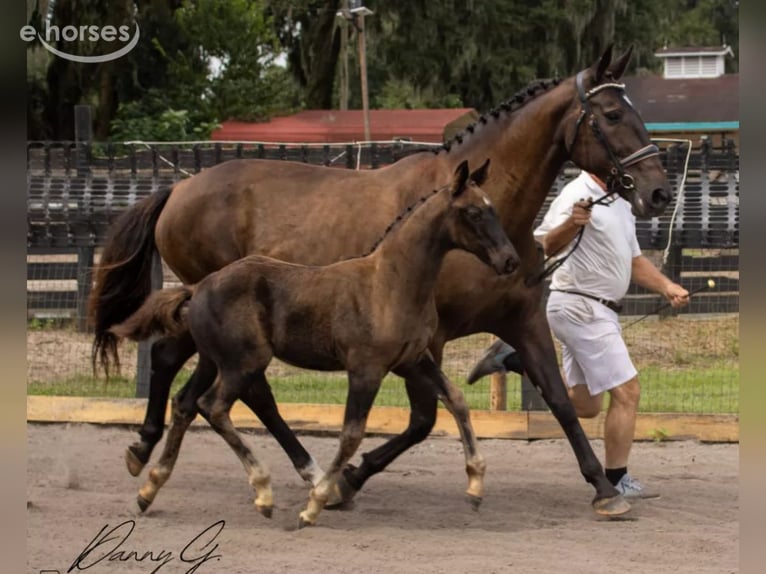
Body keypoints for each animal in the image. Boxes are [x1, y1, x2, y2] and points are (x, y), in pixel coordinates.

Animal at [109, 160, 520, 526]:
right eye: (473, 213)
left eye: (493, 209)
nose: (510, 261)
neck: (390, 283)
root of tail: (198, 288)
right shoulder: (366, 369)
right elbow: (352, 434)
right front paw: (316, 503)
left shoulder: (413, 361)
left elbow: (457, 399)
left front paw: (475, 485)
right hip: (244, 363)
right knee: (214, 406)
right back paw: (264, 491)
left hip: (216, 360)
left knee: (185, 404)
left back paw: (148, 489)